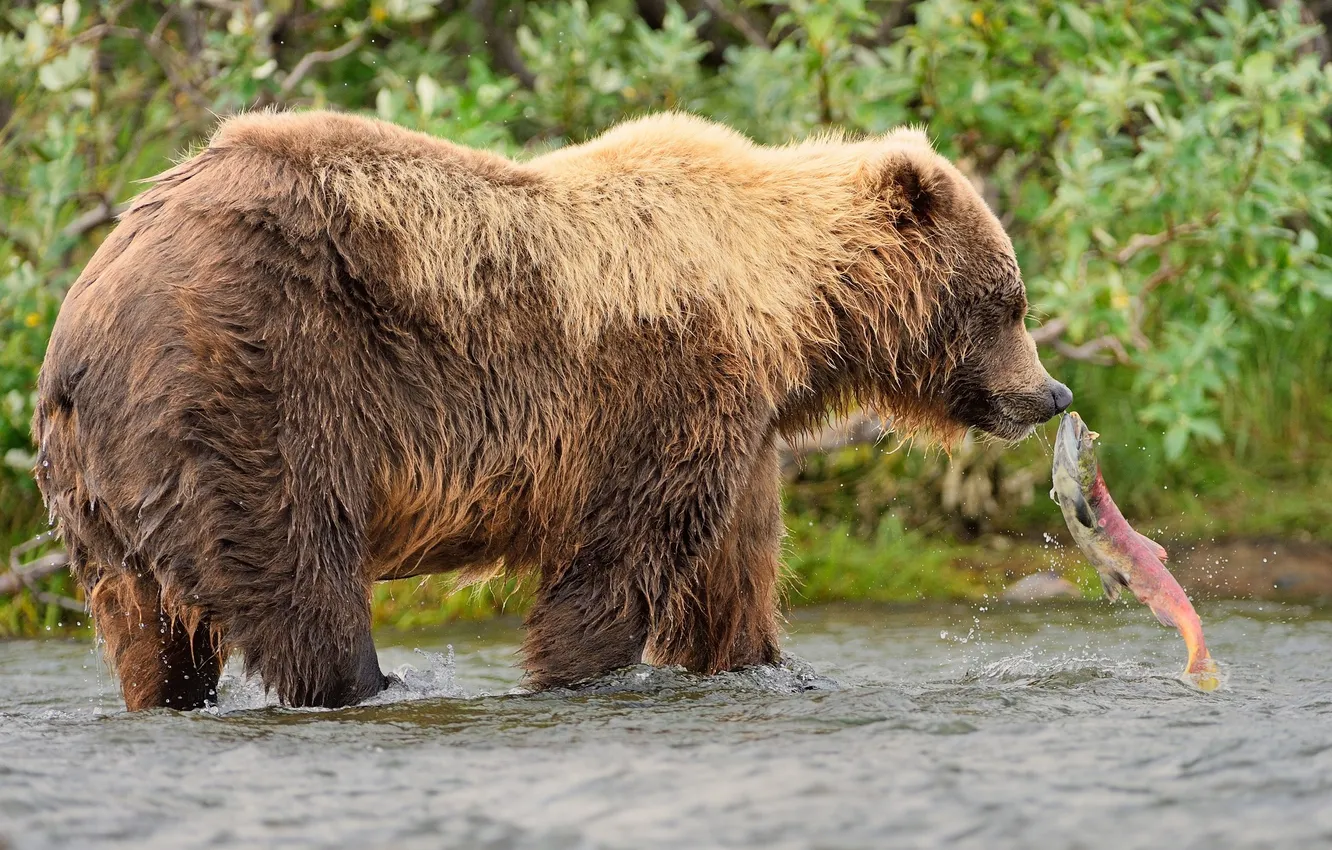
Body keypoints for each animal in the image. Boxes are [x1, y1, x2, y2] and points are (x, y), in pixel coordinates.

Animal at [31, 111, 1070, 714]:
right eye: (1011, 300)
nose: (1051, 393)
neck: (787, 307)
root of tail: (80, 318)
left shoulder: (743, 425)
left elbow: (732, 574)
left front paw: (765, 663)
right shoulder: (669, 382)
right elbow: (621, 555)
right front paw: (575, 668)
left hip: (99, 489)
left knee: (149, 623)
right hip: (257, 382)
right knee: (297, 566)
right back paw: (369, 681)